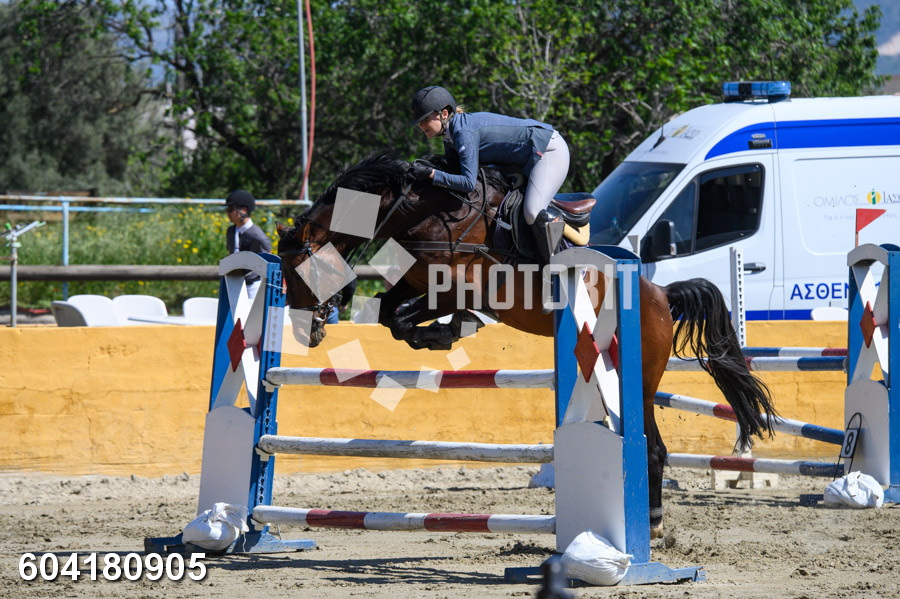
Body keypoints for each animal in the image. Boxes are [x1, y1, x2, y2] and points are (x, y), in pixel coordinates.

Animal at [276, 152, 776, 537]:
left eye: (296, 270)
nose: (305, 332)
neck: (421, 211)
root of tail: (661, 296)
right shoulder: (417, 281)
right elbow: (390, 315)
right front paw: (439, 333)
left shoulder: (458, 287)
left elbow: (406, 316)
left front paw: (448, 330)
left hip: (638, 379)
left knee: (654, 448)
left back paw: (651, 524)